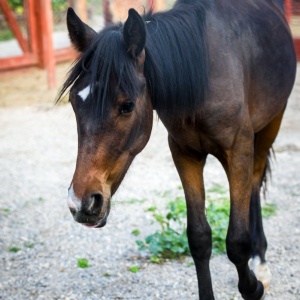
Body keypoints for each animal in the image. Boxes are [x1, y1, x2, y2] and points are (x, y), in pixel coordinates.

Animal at [58, 1, 296, 298]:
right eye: (74, 102)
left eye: (127, 106)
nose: (81, 203)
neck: (203, 72)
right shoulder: (185, 154)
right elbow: (199, 237)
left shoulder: (238, 150)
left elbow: (236, 240)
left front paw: (253, 287)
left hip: (271, 125)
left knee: (254, 183)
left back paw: (260, 260)